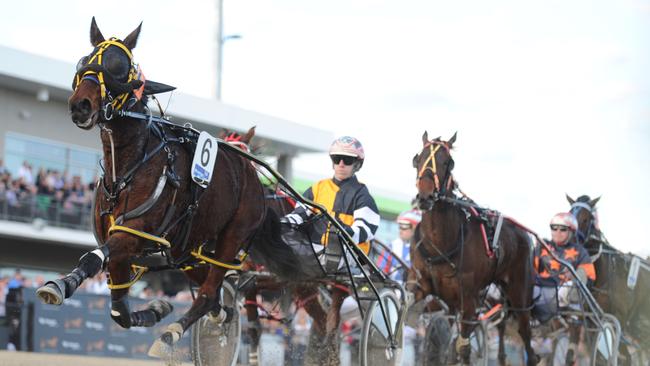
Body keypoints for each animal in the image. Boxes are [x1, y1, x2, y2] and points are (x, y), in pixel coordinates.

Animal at [34, 17, 300, 354]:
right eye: (85, 60)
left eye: (118, 66)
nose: (81, 104)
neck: (128, 169)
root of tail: (252, 176)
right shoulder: (124, 249)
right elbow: (119, 311)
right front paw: (157, 308)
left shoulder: (133, 233)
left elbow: (95, 258)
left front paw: (61, 283)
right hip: (186, 252)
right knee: (216, 292)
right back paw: (219, 314)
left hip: (232, 236)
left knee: (209, 292)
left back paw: (172, 333)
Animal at [410, 132, 536, 366]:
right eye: (418, 158)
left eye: (448, 162)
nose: (425, 197)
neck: (440, 244)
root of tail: (521, 231)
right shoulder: (424, 287)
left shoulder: (469, 300)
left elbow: (463, 347)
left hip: (519, 292)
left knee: (526, 335)